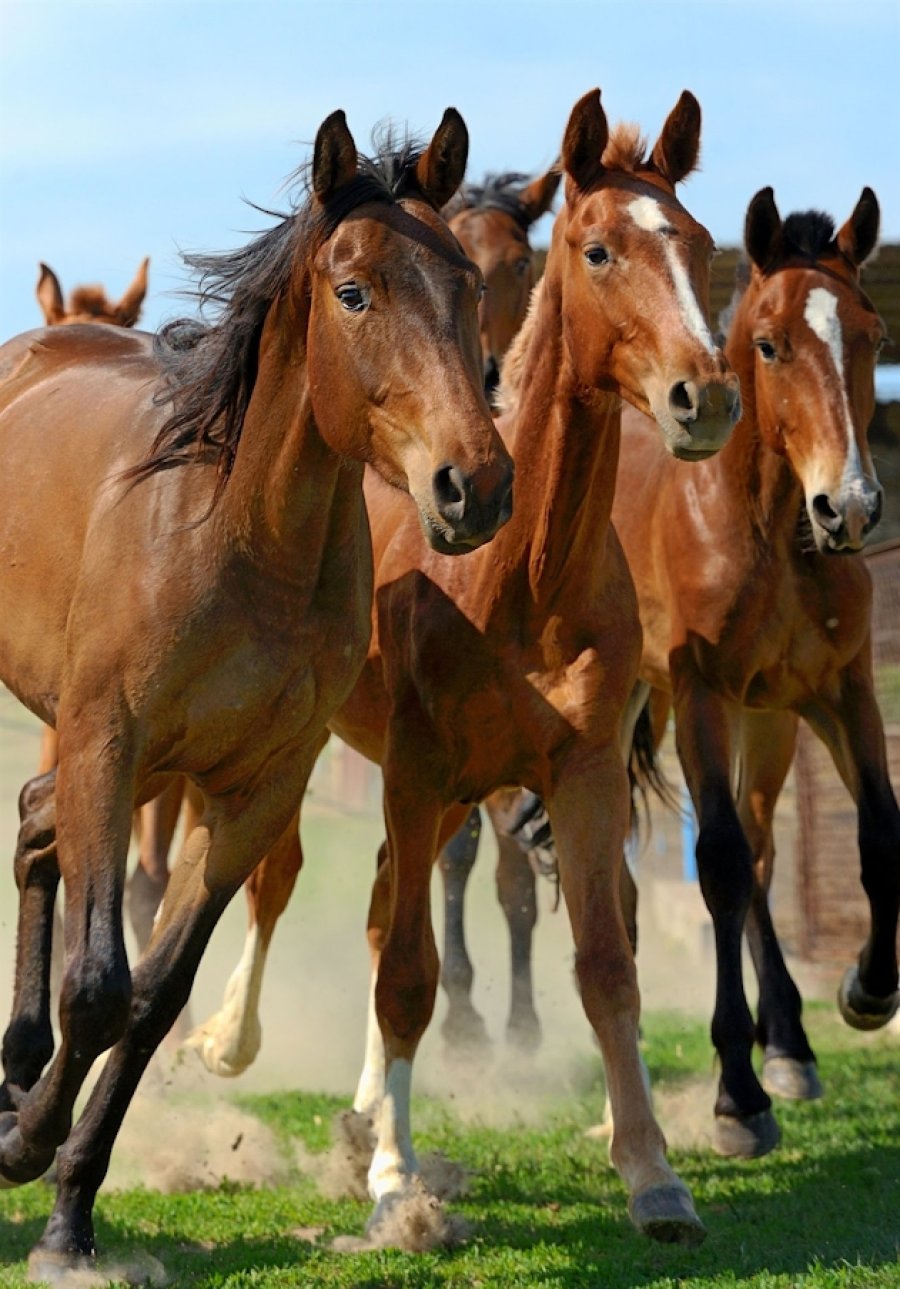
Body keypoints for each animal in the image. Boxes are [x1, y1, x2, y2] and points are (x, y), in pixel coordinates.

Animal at [0, 106, 514, 1276]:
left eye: (467, 283)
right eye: (354, 290)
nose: (475, 485)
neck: (239, 537)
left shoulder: (256, 789)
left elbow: (150, 1000)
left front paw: (67, 1205)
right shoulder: (111, 746)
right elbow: (98, 985)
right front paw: (26, 1154)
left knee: (35, 824)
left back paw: (15, 1058)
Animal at [193, 87, 741, 1246]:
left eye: (702, 243)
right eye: (597, 249)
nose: (704, 398)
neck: (520, 579)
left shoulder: (578, 774)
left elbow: (606, 965)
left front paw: (652, 1172)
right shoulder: (415, 770)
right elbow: (408, 969)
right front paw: (396, 1179)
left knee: (374, 902)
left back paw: (363, 1113)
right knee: (286, 880)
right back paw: (233, 1043)